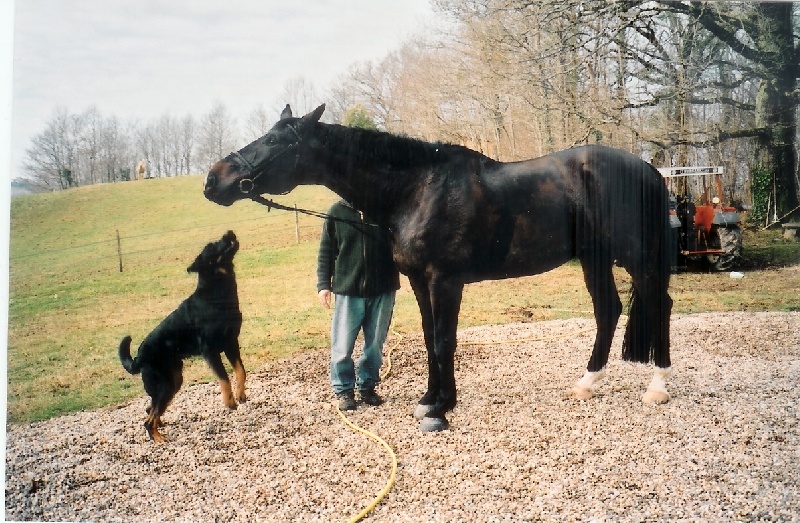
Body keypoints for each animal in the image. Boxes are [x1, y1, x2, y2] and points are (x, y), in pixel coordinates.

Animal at [118, 231, 244, 440]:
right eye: (212, 245)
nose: (229, 232)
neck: (217, 293)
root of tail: (138, 358)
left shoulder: (231, 343)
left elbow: (241, 371)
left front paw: (240, 395)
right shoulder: (210, 351)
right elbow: (224, 377)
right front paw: (229, 401)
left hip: (173, 381)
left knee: (150, 409)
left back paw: (160, 426)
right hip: (166, 385)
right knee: (148, 419)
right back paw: (159, 439)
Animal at [203, 104, 672, 432]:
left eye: (276, 142)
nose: (213, 180)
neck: (416, 189)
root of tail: (650, 170)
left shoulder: (445, 281)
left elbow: (445, 342)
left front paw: (442, 410)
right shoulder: (418, 281)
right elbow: (431, 340)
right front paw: (431, 399)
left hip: (638, 258)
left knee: (659, 305)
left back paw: (658, 387)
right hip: (595, 258)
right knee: (608, 310)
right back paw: (587, 384)